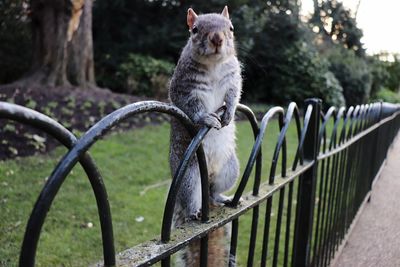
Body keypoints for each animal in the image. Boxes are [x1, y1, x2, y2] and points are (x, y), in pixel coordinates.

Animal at [168, 5, 241, 267]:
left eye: (230, 28)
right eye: (195, 30)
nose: (217, 39)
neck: (214, 65)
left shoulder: (233, 77)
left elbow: (234, 94)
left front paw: (229, 112)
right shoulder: (183, 88)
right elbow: (190, 107)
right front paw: (207, 119)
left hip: (229, 169)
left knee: (213, 192)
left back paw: (222, 198)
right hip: (189, 176)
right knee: (191, 200)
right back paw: (195, 212)